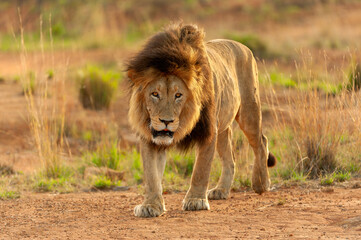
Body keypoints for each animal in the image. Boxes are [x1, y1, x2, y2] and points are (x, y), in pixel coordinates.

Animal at [126, 23, 276, 218]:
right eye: (155, 94)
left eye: (178, 95)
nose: (166, 121)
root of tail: (243, 46)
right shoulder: (150, 137)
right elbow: (151, 175)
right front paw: (150, 205)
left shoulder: (208, 131)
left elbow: (200, 169)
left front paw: (195, 200)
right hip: (223, 127)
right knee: (230, 158)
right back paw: (221, 190)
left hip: (249, 111)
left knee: (261, 142)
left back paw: (261, 183)